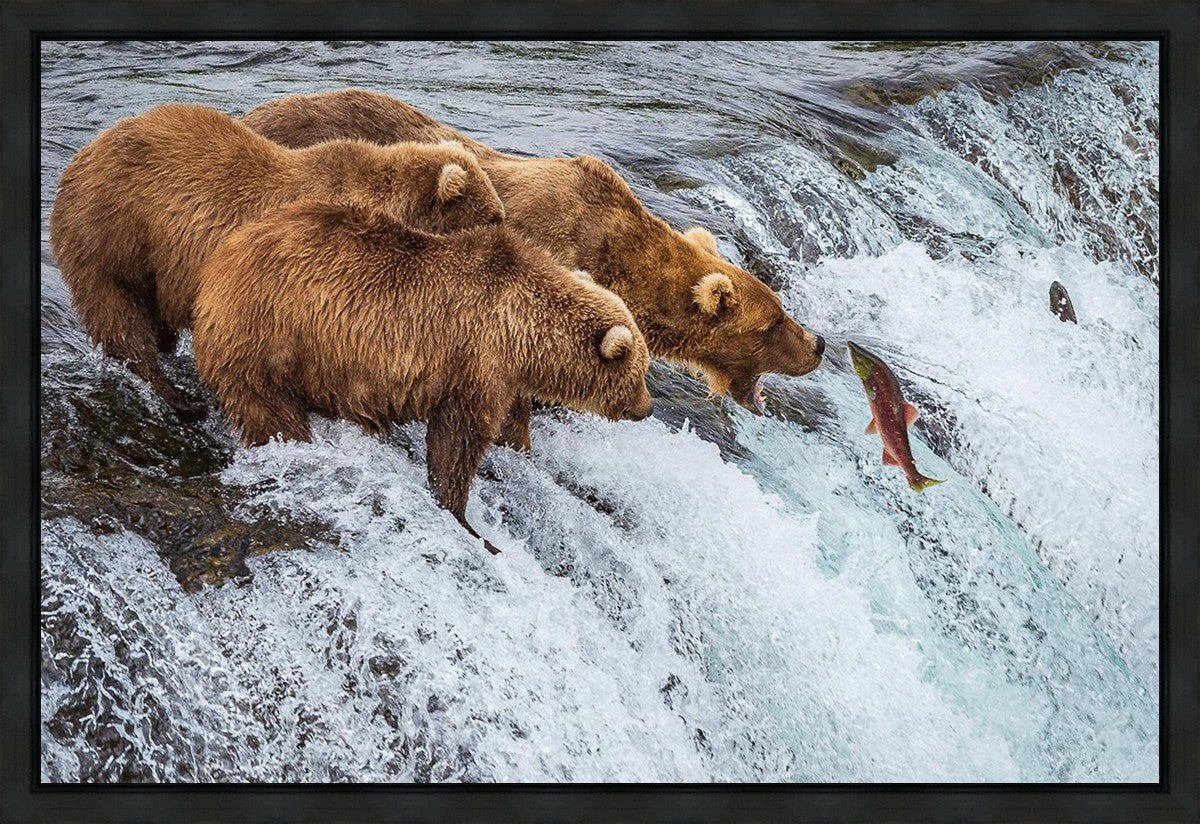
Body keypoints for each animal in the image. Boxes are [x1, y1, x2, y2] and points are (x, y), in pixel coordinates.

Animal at [49, 102, 505, 421]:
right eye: (494, 216)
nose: (506, 230)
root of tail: (81, 155)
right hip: (113, 234)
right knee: (120, 316)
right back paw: (178, 396)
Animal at [192, 199, 653, 554]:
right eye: (640, 372)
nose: (646, 408)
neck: (523, 331)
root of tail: (217, 263)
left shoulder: (505, 378)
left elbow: (509, 426)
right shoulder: (475, 360)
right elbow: (457, 440)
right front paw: (467, 520)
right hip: (267, 334)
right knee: (269, 409)